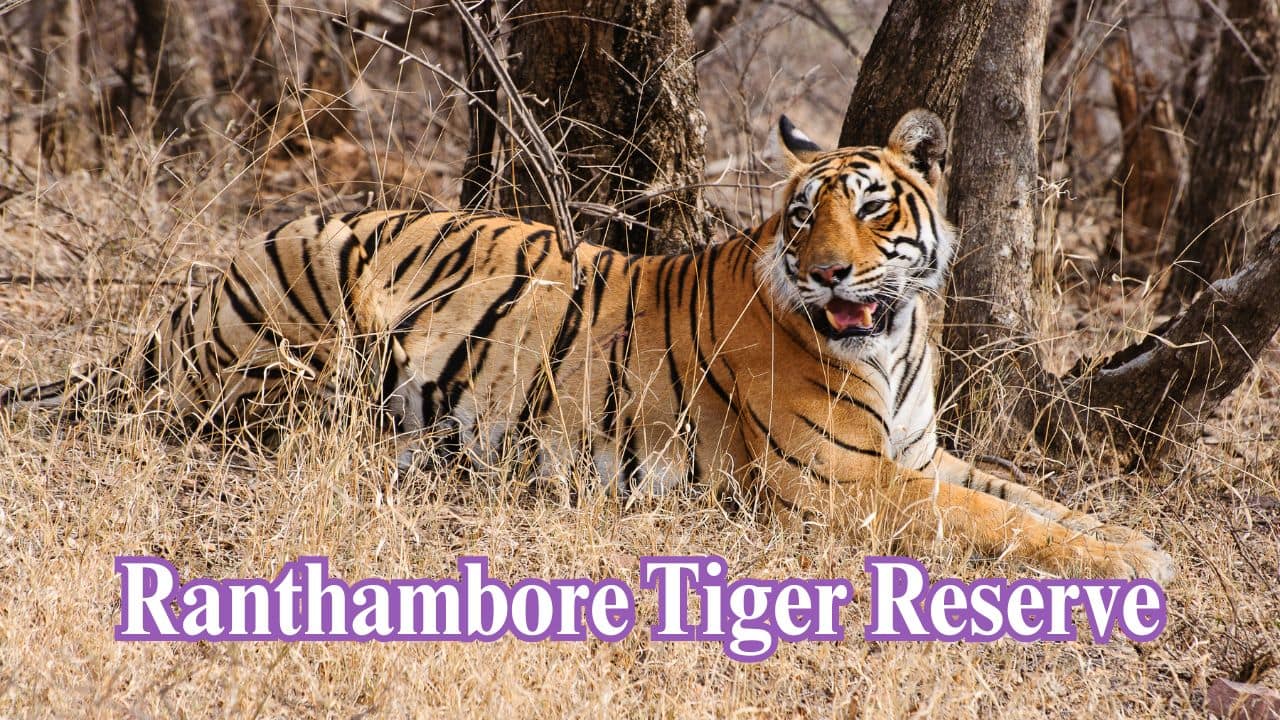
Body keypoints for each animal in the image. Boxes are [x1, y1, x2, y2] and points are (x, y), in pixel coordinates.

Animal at [1, 109, 1174, 582]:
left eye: (873, 208)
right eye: (804, 216)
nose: (831, 274)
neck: (893, 339)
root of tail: (205, 285)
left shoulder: (919, 453)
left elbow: (1031, 500)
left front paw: (1135, 543)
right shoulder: (838, 479)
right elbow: (1000, 525)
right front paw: (1131, 564)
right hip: (306, 311)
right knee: (242, 419)